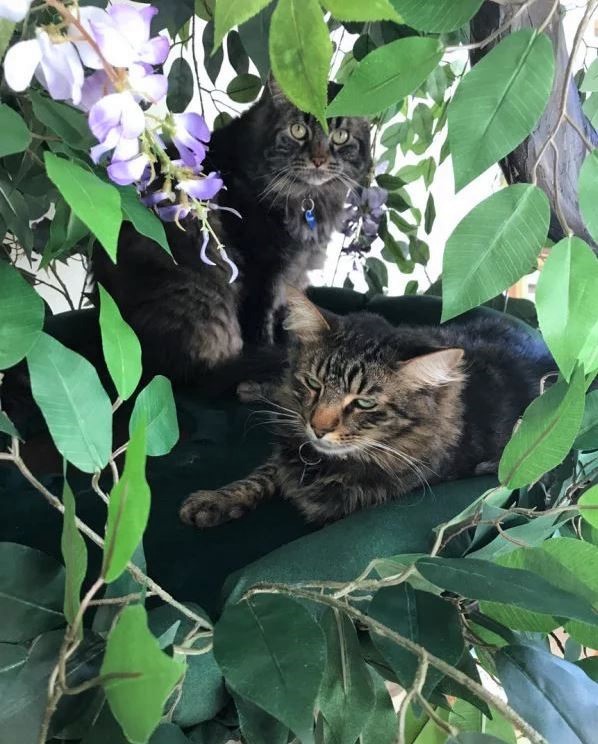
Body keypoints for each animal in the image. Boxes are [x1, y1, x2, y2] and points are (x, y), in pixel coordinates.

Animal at [93, 80, 370, 384]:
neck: (308, 198)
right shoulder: (263, 273)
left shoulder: (292, 277)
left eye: (341, 136)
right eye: (298, 130)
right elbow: (262, 329)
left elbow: (291, 321)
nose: (319, 159)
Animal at [180, 292, 556, 528]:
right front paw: (213, 501)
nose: (317, 427)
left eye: (363, 403)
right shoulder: (290, 449)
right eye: (314, 384)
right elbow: (259, 476)